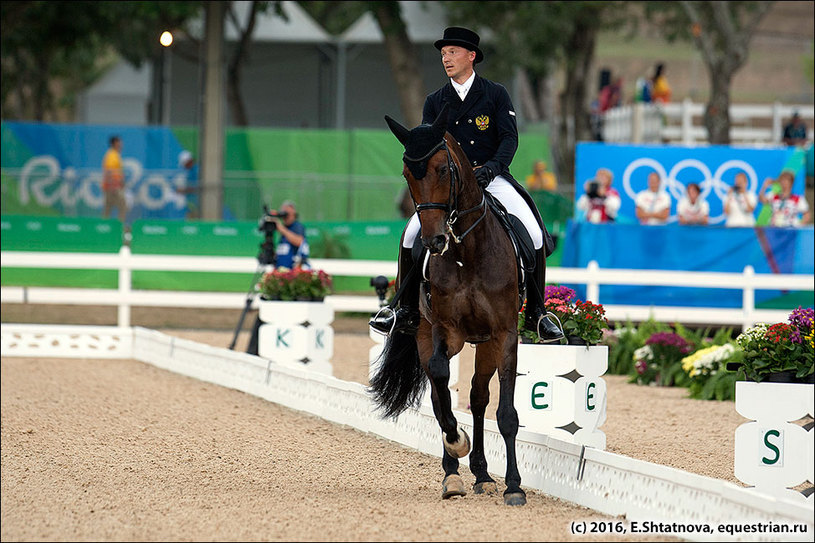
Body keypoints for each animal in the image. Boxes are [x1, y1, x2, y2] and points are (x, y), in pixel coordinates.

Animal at [366, 105, 524, 506]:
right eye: (408, 174)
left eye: (442, 169)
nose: (434, 241)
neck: (468, 251)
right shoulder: (444, 330)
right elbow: (440, 381)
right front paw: (456, 442)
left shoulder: (505, 334)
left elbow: (506, 413)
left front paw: (515, 486)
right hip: (425, 332)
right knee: (441, 398)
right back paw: (453, 475)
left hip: (487, 343)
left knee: (479, 397)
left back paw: (483, 475)